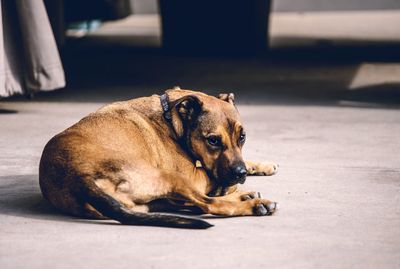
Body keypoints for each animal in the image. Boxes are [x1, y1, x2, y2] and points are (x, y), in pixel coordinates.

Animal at [39, 87, 278, 228]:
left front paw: (262, 165)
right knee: (209, 204)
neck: (173, 116)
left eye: (242, 136)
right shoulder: (194, 176)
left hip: (148, 203)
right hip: (172, 178)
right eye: (213, 140)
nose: (240, 174)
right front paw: (232, 186)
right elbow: (212, 178)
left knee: (188, 204)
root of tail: (78, 178)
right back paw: (253, 203)